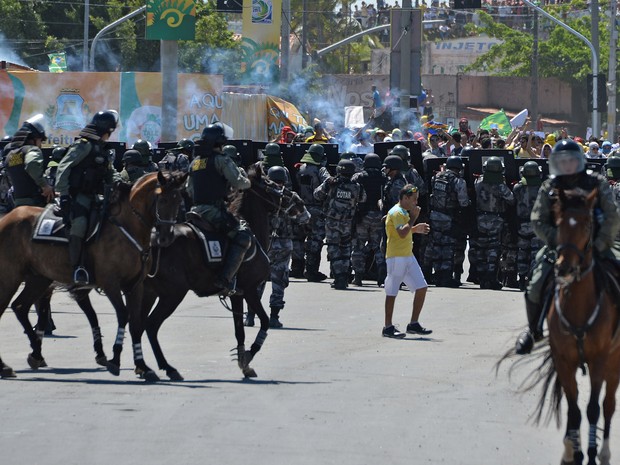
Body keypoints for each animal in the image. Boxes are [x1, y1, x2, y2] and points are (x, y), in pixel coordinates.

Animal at [0, 170, 186, 376]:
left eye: (178, 200)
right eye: (162, 199)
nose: (166, 237)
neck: (128, 228)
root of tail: (6, 217)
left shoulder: (135, 286)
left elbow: (136, 323)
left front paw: (142, 366)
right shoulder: (111, 283)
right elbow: (123, 315)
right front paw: (115, 358)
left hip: (38, 279)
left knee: (20, 306)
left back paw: (34, 351)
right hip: (10, 277)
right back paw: (12, 362)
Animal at [139, 167, 306, 380]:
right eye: (274, 183)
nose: (299, 202)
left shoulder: (237, 294)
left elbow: (239, 330)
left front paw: (244, 362)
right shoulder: (250, 290)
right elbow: (264, 321)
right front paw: (249, 355)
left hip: (149, 292)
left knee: (138, 324)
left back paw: (144, 368)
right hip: (172, 294)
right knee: (151, 325)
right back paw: (167, 368)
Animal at [528, 188, 620, 464]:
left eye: (588, 224)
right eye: (558, 224)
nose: (564, 267)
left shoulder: (599, 360)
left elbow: (592, 410)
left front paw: (589, 453)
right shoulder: (563, 360)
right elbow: (574, 409)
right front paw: (575, 452)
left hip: (614, 361)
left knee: (608, 405)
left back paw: (604, 452)